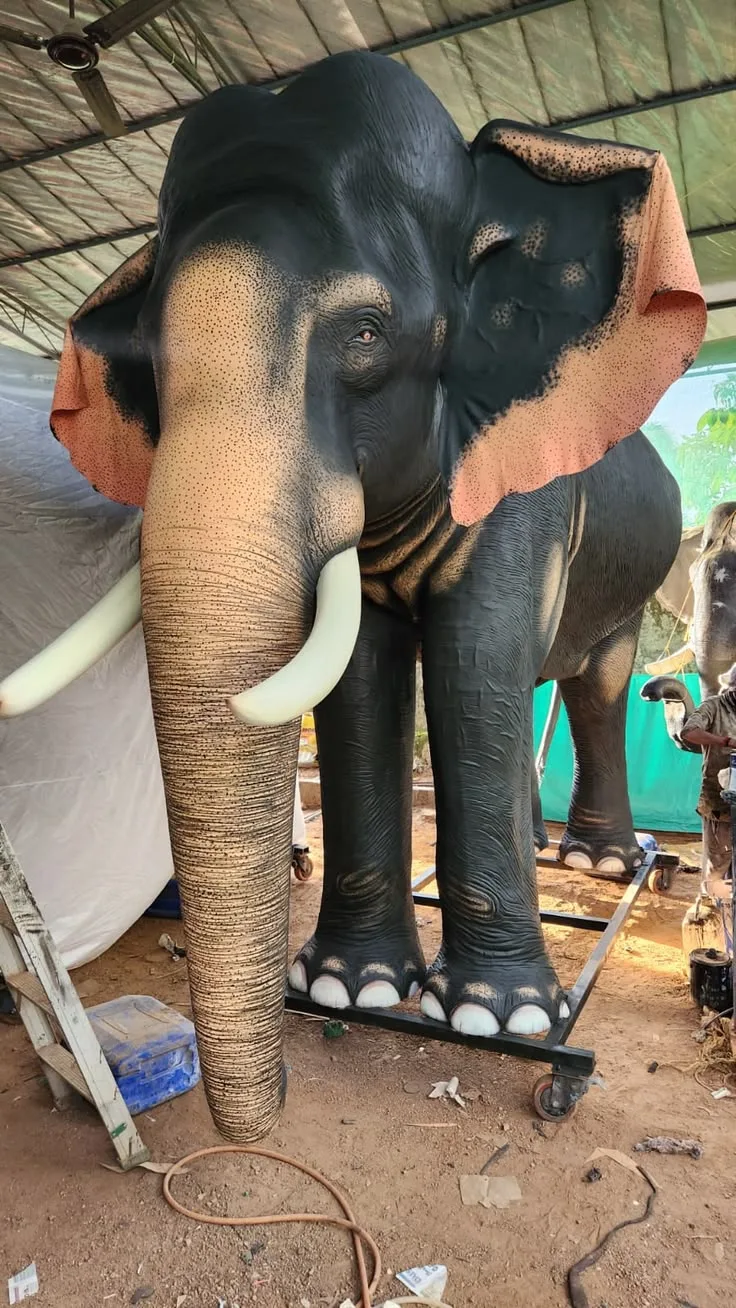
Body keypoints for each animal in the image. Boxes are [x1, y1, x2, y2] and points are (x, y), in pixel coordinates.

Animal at [0, 52, 705, 1144]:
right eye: (147, 371)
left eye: (368, 332)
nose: (273, 1102)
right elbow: (361, 673)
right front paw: (349, 991)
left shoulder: (523, 472)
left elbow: (471, 659)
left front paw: (506, 1022)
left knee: (595, 679)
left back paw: (603, 868)